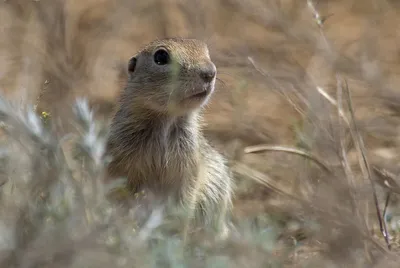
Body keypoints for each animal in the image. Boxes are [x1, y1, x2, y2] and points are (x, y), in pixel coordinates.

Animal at [104, 37, 233, 237]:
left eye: (205, 50)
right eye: (161, 56)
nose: (210, 72)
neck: (167, 120)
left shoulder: (189, 168)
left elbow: (184, 202)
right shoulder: (120, 162)